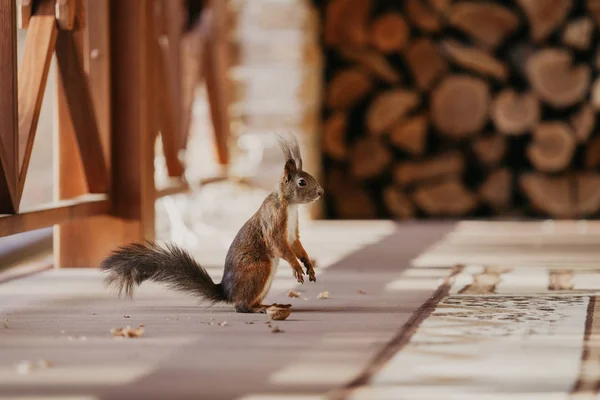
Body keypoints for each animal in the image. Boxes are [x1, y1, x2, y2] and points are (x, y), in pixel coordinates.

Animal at [100, 133, 324, 314]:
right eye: (302, 182)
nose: (321, 192)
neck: (291, 206)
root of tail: (226, 291)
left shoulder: (292, 231)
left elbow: (296, 245)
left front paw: (308, 265)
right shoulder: (274, 221)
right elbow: (280, 245)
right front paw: (296, 267)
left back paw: (268, 305)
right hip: (258, 269)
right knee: (240, 306)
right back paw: (254, 309)